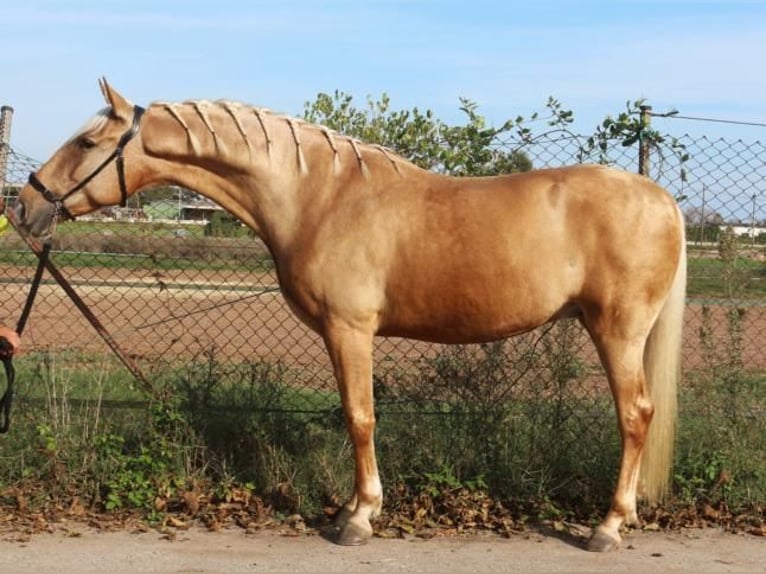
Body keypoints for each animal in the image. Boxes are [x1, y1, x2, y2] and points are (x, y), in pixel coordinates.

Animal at [15, 81, 688, 552]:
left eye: (85, 143)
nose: (23, 205)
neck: (321, 196)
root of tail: (663, 201)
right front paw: (354, 509)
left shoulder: (350, 331)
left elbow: (359, 418)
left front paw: (358, 517)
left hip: (617, 332)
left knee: (635, 416)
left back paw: (607, 527)